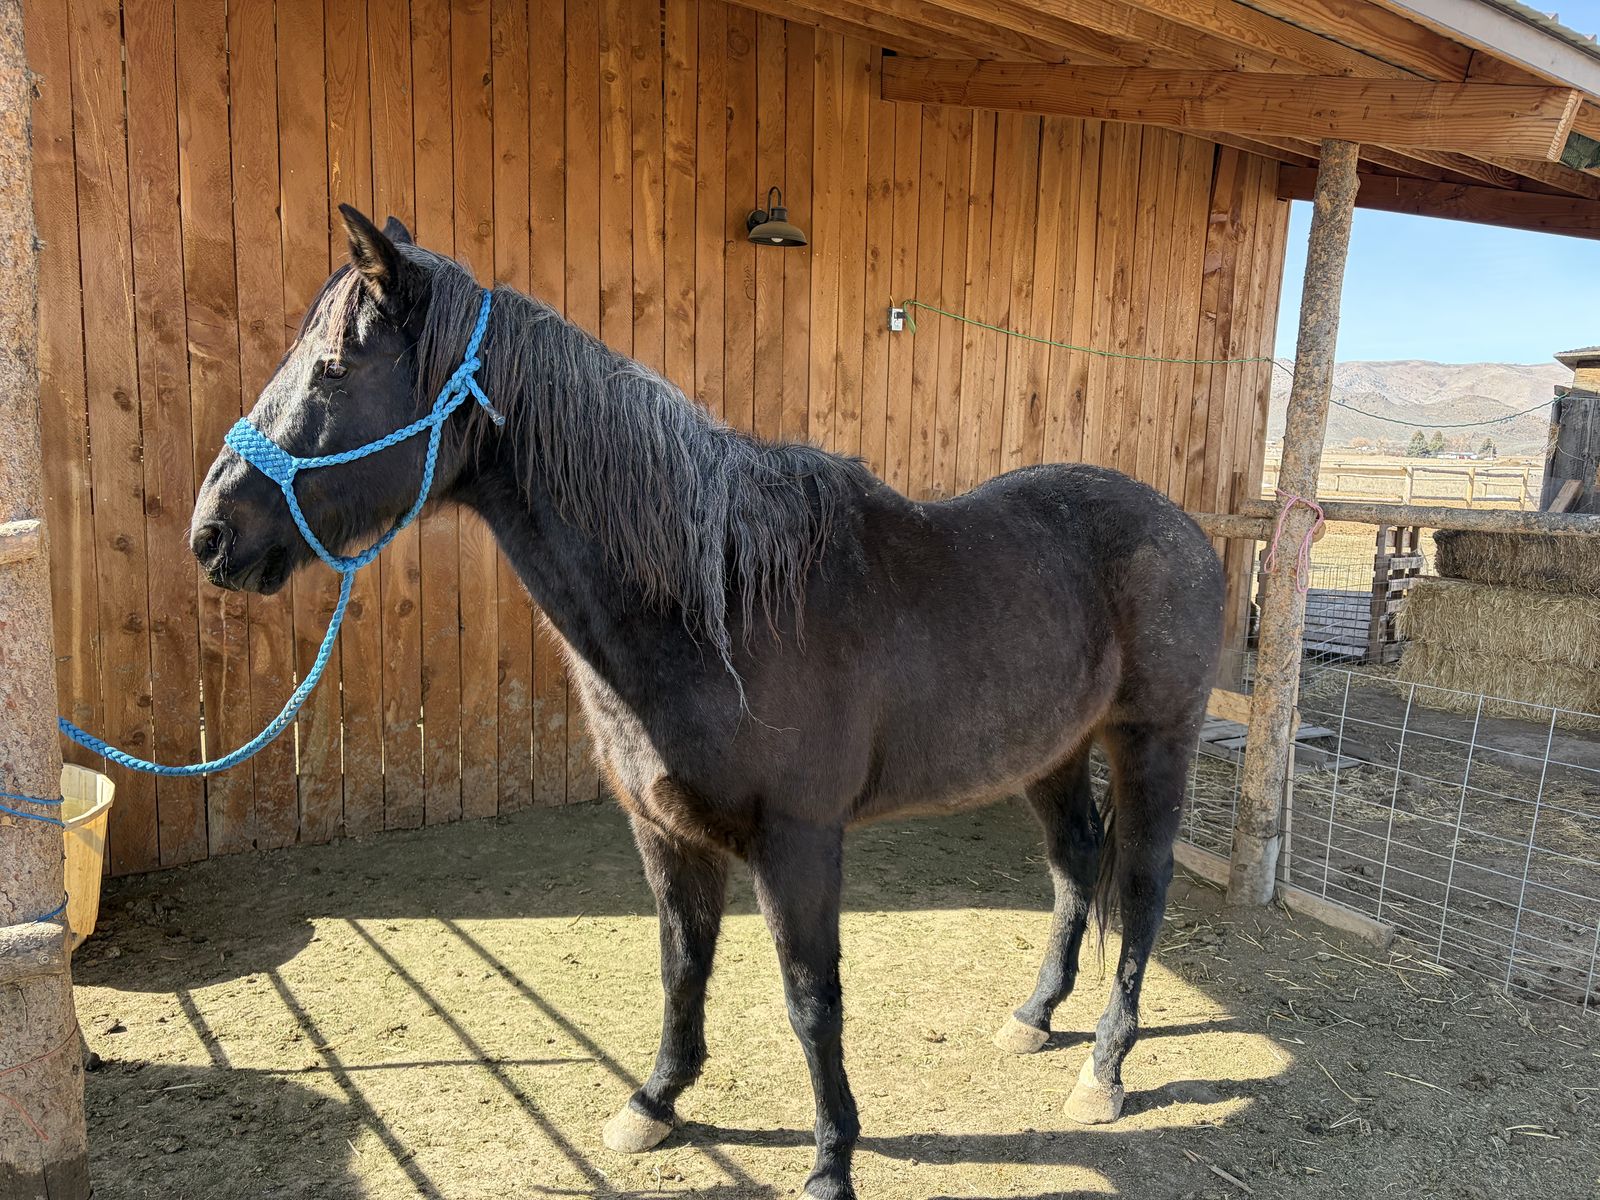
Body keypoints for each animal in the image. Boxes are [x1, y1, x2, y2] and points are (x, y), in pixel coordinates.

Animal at [190, 206, 1225, 1200]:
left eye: (336, 366)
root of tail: (1183, 526)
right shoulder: (663, 830)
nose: (212, 534)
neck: (716, 605)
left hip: (1152, 740)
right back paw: (1035, 1016)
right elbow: (681, 965)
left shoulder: (799, 840)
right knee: (1074, 865)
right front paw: (654, 1102)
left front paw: (830, 1161)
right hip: (1052, 751)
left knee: (1141, 885)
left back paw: (1104, 1067)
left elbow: (811, 997)